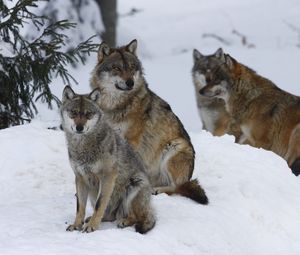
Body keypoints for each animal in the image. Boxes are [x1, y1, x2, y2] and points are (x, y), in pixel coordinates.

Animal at [60, 85, 156, 233]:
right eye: (74, 113)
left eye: (88, 114)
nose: (79, 127)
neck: (83, 146)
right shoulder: (80, 178)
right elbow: (80, 207)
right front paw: (77, 224)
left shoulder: (108, 176)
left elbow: (100, 204)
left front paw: (92, 226)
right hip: (93, 193)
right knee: (110, 215)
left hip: (135, 184)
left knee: (136, 217)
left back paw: (123, 221)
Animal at [89, 38, 209, 204]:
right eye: (117, 68)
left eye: (132, 67)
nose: (130, 83)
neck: (115, 106)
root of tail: (188, 177)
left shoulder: (131, 140)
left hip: (175, 147)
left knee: (177, 188)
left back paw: (156, 190)